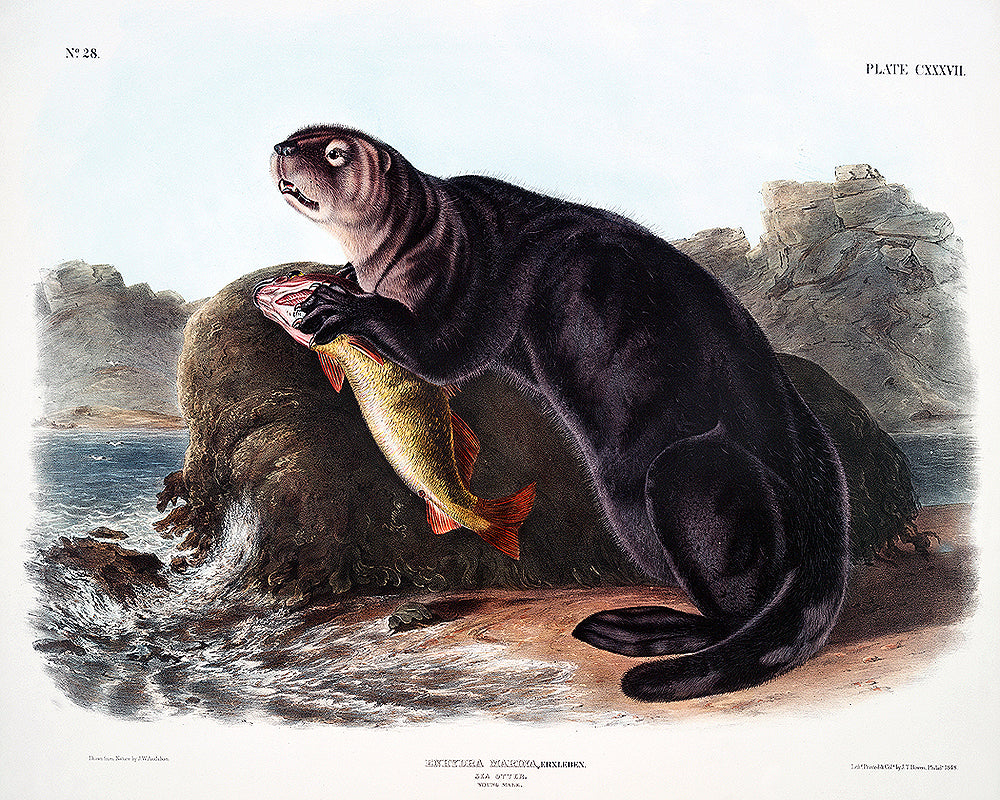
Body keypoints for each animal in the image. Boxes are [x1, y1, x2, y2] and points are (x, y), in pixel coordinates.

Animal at [269, 124, 850, 702]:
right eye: (300, 135)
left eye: (335, 153)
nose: (281, 148)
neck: (434, 237)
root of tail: (824, 527)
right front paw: (339, 277)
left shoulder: (482, 283)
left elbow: (446, 352)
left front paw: (338, 304)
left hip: (691, 475)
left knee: (735, 608)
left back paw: (639, 629)